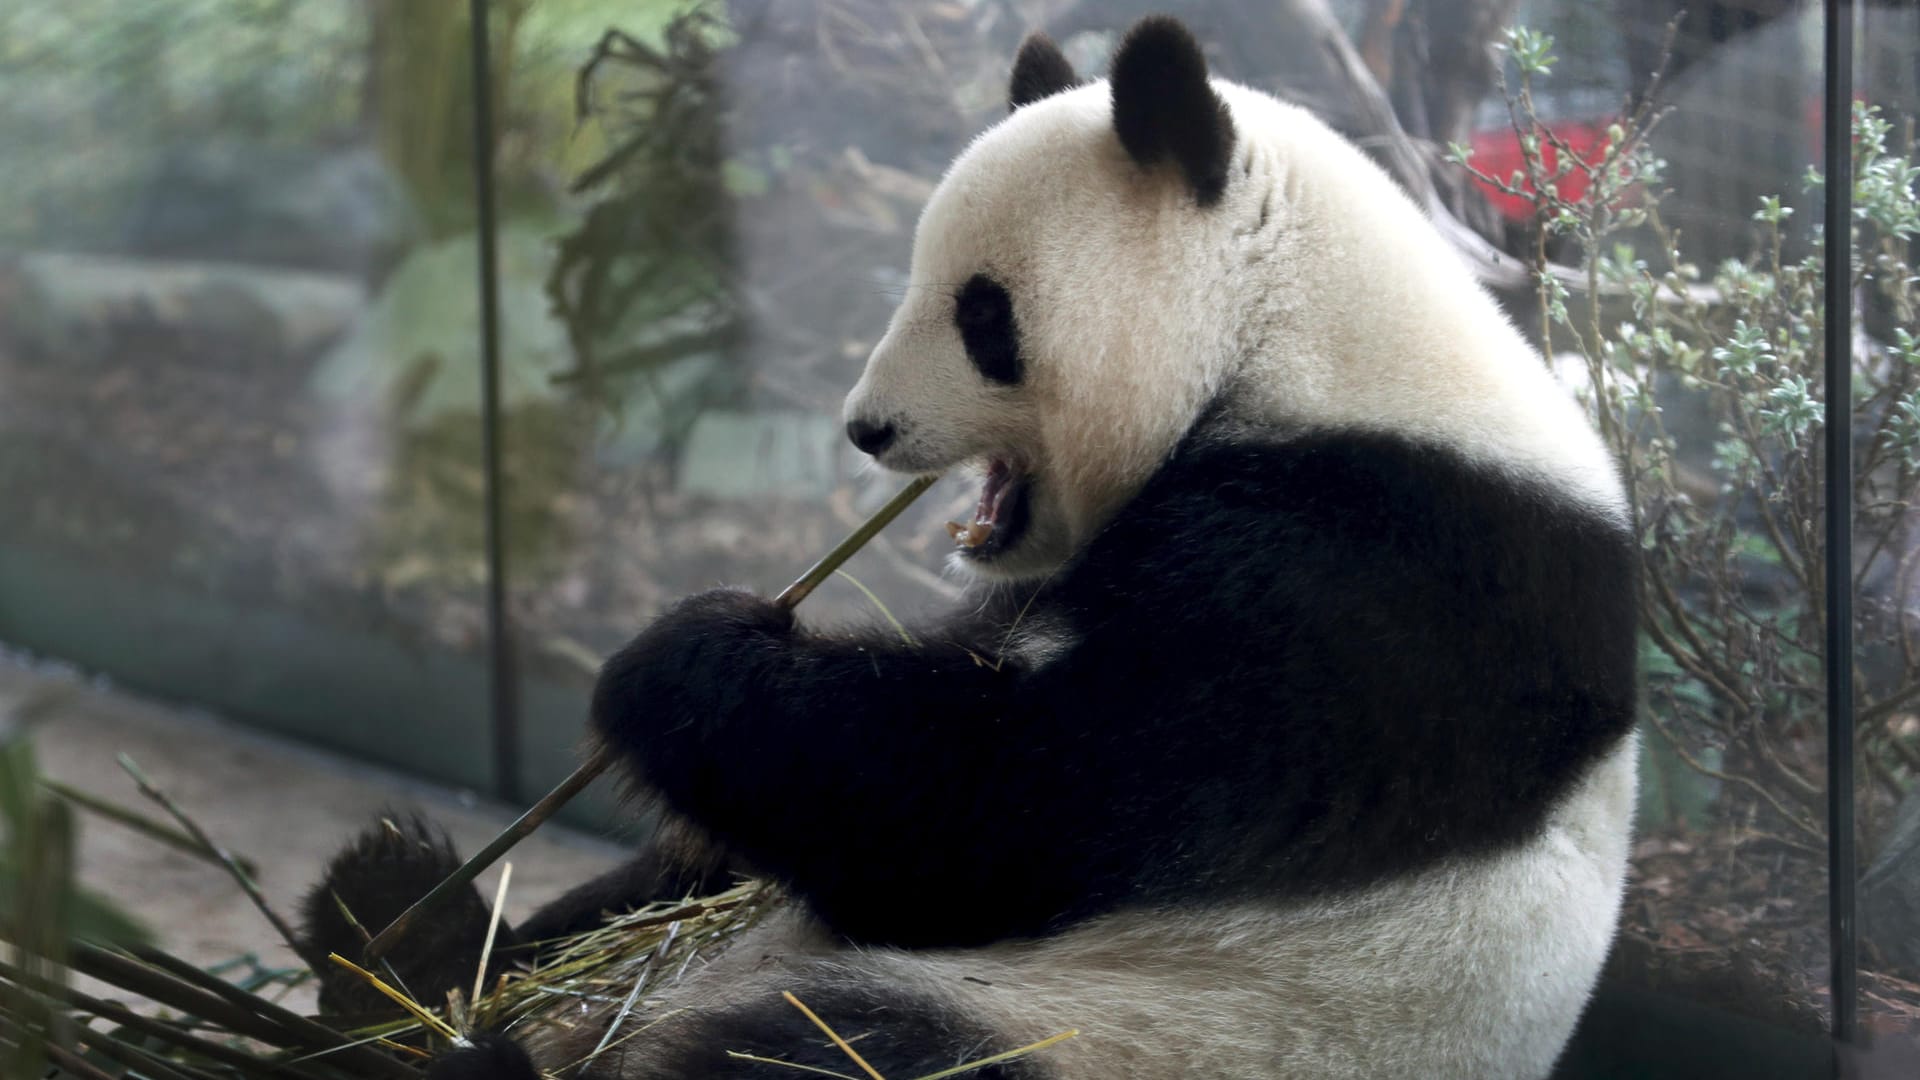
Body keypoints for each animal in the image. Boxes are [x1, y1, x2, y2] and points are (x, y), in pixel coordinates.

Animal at [311, 16, 1635, 1076]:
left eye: (982, 312)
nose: (868, 428)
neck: (1301, 335)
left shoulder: (1366, 590)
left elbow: (1019, 806)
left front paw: (676, 657)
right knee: (658, 893)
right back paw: (393, 929)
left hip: (1113, 1027)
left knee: (825, 1047)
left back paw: (465, 1052)